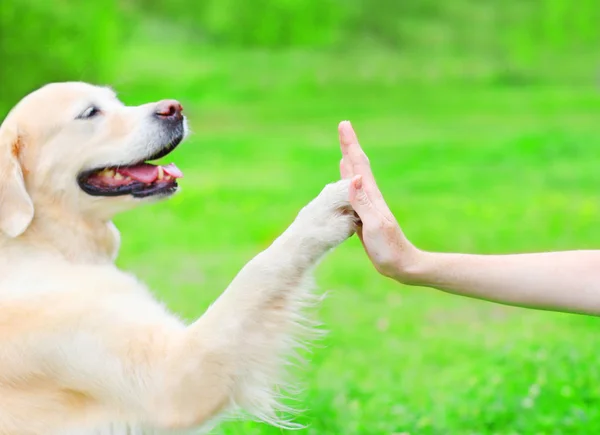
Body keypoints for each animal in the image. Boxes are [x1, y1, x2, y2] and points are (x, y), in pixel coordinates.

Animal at [0, 82, 356, 435]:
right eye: (90, 112)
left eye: (116, 101)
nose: (174, 108)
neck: (48, 245)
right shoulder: (173, 377)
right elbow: (258, 272)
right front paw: (325, 211)